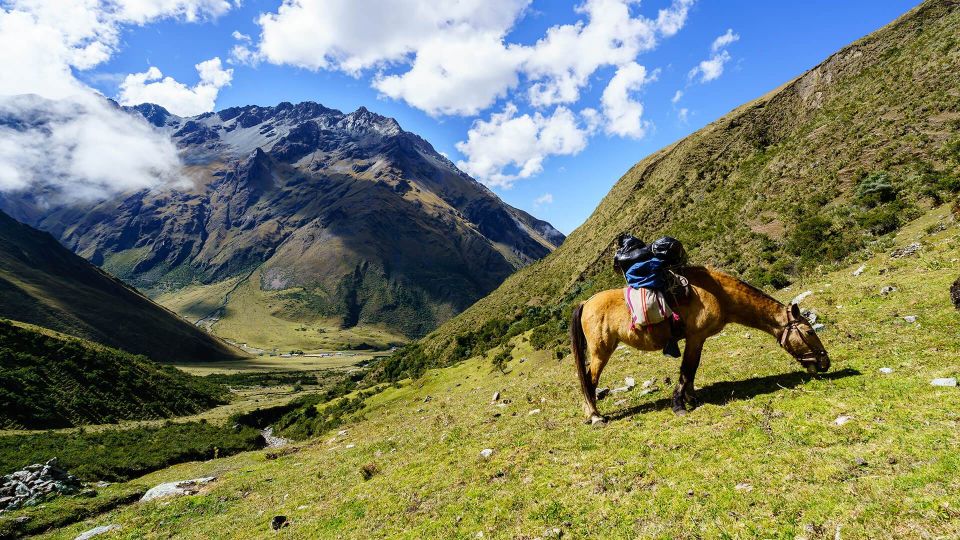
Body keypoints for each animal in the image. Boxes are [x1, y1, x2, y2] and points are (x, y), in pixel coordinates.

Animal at [568, 268, 832, 424]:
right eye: (809, 331)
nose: (825, 362)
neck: (719, 293)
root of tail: (586, 302)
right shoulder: (695, 337)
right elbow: (687, 370)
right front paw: (679, 405)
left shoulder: (699, 340)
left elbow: (692, 372)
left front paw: (692, 398)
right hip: (601, 351)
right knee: (590, 379)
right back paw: (594, 416)